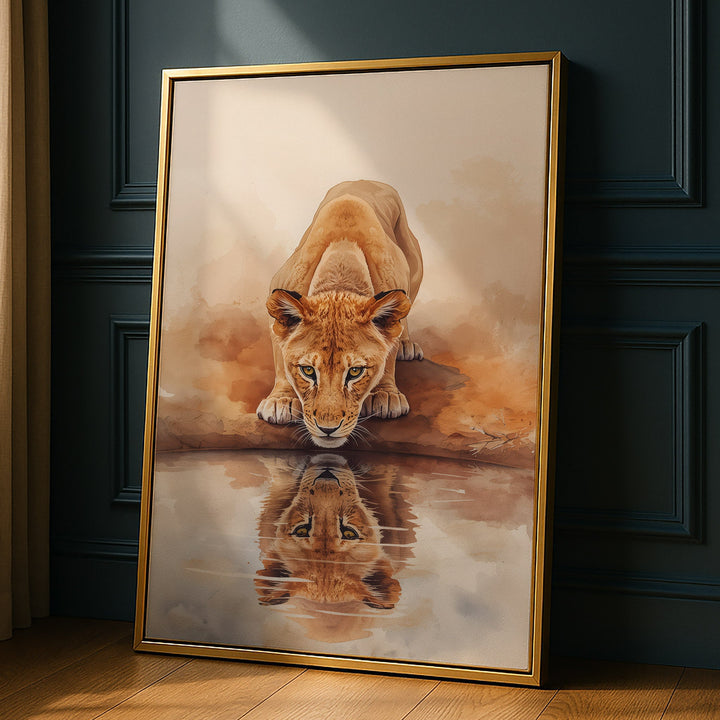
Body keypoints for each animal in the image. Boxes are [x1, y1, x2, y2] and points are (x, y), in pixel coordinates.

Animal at [256, 180, 423, 449]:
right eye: (308, 371)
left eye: (355, 372)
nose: (327, 429)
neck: (341, 274)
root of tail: (368, 180)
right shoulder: (279, 307)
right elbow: (281, 363)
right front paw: (281, 400)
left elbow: (389, 352)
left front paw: (385, 394)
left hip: (414, 270)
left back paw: (407, 346)